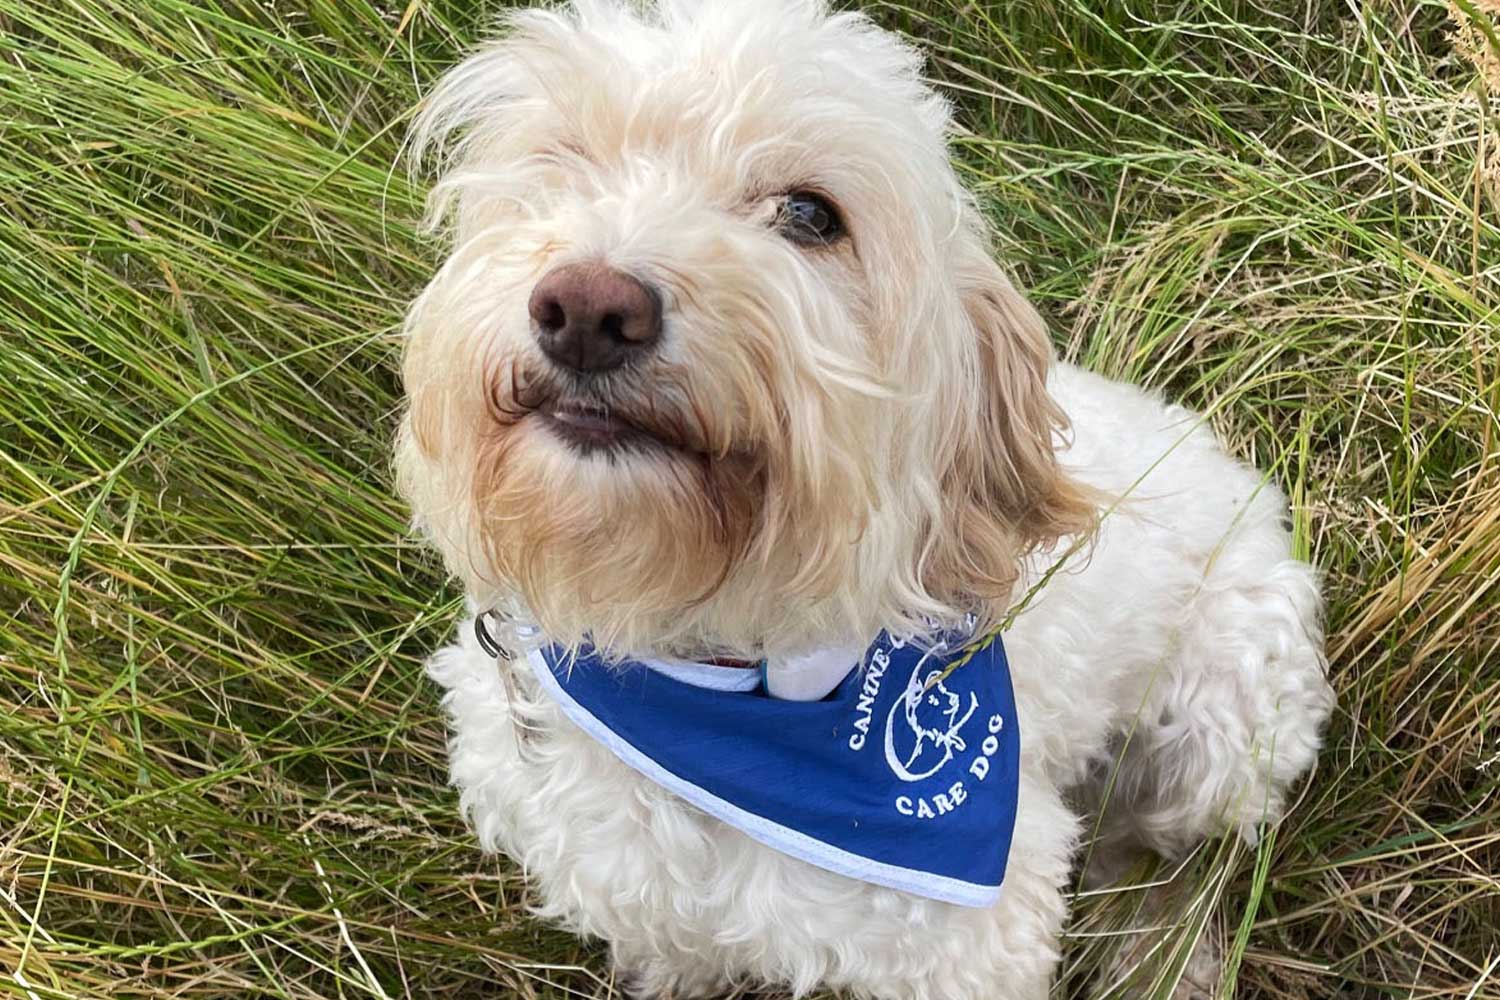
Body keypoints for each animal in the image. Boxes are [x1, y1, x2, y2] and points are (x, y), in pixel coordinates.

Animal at [393, 3, 1332, 995]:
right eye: (563, 160)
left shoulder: (971, 944)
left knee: (1163, 861)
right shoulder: (628, 891)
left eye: (811, 215)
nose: (587, 308)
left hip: (1226, 734)